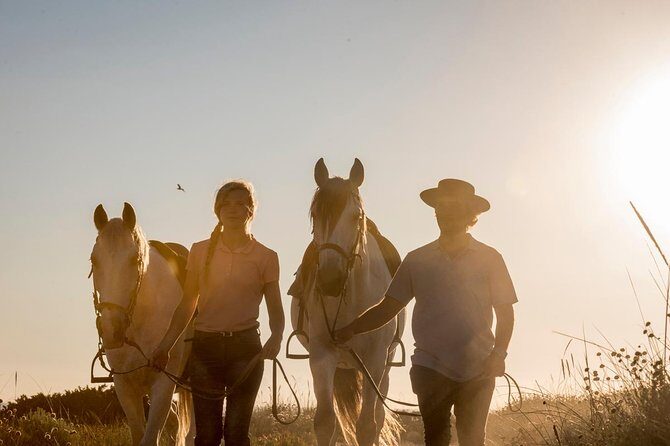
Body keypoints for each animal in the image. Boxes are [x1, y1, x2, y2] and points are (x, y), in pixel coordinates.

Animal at [289, 159, 406, 446]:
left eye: (355, 216)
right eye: (315, 215)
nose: (330, 280)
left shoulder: (374, 360)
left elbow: (367, 426)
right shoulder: (321, 356)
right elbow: (325, 422)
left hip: (383, 368)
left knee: (378, 417)